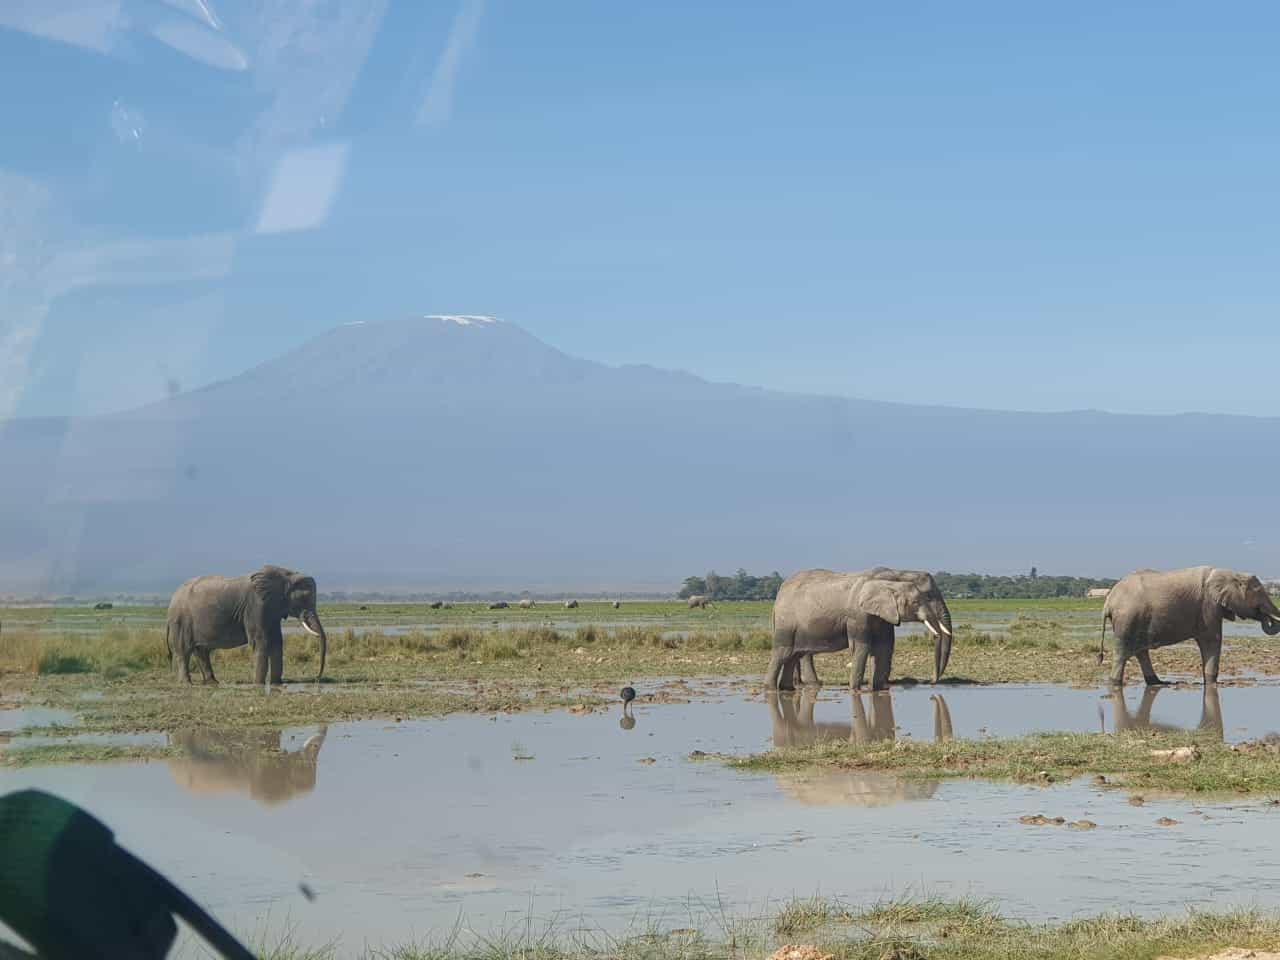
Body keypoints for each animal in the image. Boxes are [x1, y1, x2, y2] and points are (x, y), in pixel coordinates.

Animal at [165, 564, 327, 685]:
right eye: (303, 598)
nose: (317, 679)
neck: (286, 574)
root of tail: (172, 599)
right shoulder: (255, 605)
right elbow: (260, 641)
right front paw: (258, 684)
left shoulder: (272, 608)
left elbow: (276, 641)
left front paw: (276, 683)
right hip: (181, 621)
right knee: (184, 651)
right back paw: (187, 684)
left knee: (201, 651)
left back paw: (213, 683)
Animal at [765, 568, 954, 691]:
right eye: (925, 598)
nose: (931, 682)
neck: (896, 575)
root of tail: (778, 595)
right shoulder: (858, 615)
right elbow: (861, 647)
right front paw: (856, 690)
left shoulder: (884, 615)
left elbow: (884, 647)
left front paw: (877, 689)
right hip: (786, 622)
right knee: (783, 653)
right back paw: (772, 689)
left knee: (795, 654)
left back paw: (790, 688)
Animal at [1100, 566, 1280, 687]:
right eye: (1259, 592)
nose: (1266, 617)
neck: (1230, 573)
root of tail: (1108, 601)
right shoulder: (1208, 606)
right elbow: (1211, 640)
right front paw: (1212, 683)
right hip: (1127, 618)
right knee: (1122, 651)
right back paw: (1115, 684)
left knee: (1140, 651)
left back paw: (1158, 683)